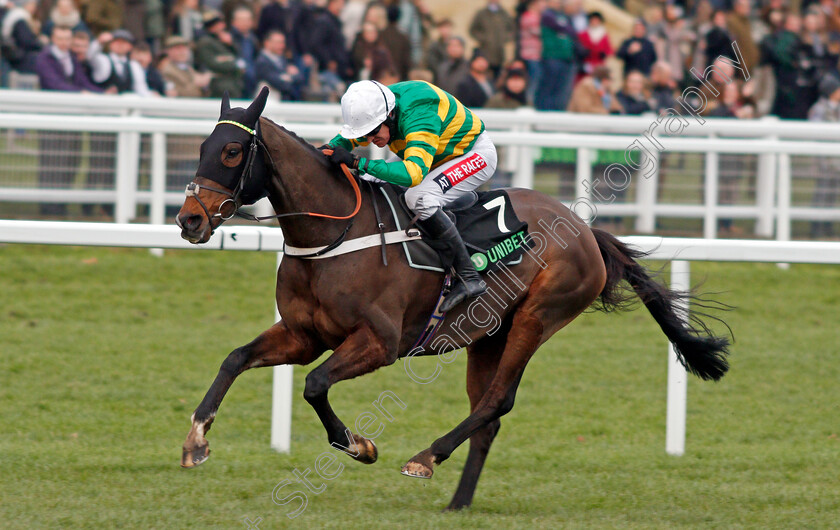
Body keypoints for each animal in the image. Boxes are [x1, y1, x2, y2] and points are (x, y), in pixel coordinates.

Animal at [177, 88, 728, 510]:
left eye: (231, 152)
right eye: (202, 146)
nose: (189, 220)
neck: (332, 236)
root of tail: (586, 230)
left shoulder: (379, 342)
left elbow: (314, 385)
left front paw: (360, 445)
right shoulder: (302, 335)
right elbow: (235, 358)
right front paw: (196, 441)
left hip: (537, 317)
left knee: (497, 400)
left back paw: (426, 457)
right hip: (488, 334)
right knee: (487, 411)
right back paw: (458, 502)